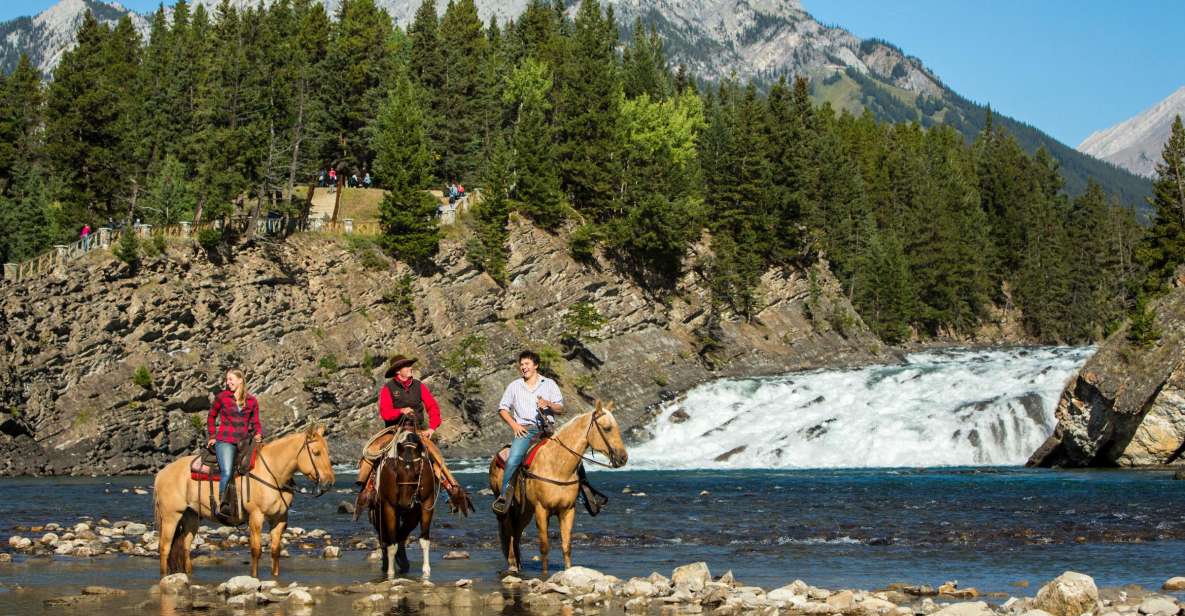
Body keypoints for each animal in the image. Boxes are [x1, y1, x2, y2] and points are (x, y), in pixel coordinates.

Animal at [152, 424, 336, 578]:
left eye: (327, 452)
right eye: (316, 452)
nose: (329, 483)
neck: (272, 473)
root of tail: (161, 473)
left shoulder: (280, 519)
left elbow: (275, 550)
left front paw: (275, 576)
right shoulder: (256, 516)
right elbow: (256, 550)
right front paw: (254, 577)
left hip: (191, 517)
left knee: (185, 545)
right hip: (171, 516)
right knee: (164, 547)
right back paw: (164, 576)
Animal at [369, 428, 440, 578]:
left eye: (418, 472)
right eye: (397, 472)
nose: (404, 503)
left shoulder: (425, 505)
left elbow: (422, 540)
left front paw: (426, 571)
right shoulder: (389, 506)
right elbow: (392, 543)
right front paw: (390, 573)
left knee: (399, 534)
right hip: (378, 513)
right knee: (383, 537)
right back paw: (387, 565)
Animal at [485, 400, 630, 578]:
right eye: (607, 428)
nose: (623, 458)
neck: (558, 466)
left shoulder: (567, 510)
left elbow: (566, 546)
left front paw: (569, 573)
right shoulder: (542, 510)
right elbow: (544, 547)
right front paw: (545, 576)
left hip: (525, 511)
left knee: (517, 533)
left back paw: (518, 564)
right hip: (507, 507)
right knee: (509, 531)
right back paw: (512, 564)